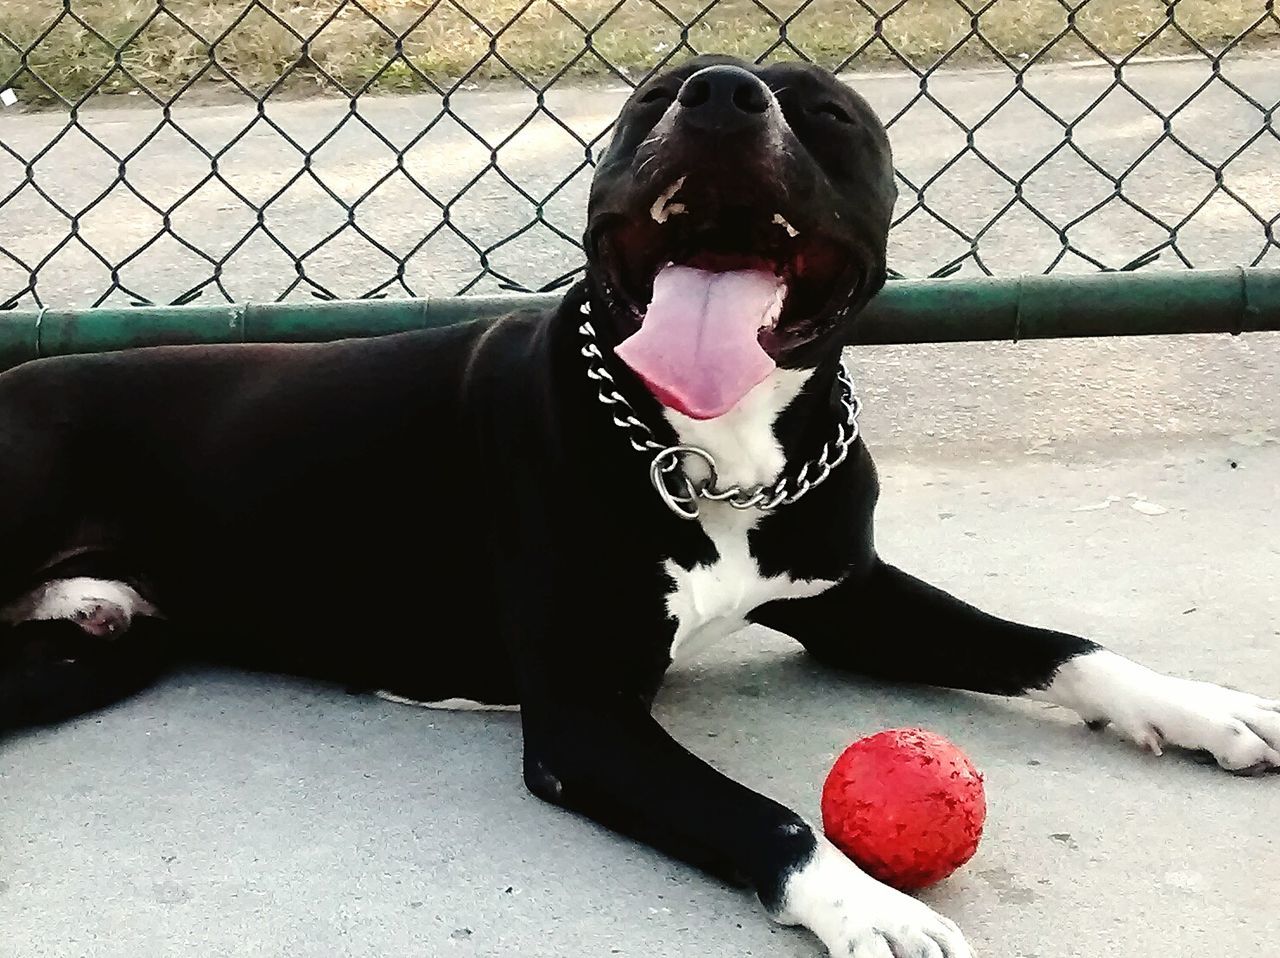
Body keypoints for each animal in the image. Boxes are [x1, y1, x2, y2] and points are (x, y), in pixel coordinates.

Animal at [0, 57, 1274, 957]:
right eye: (652, 99)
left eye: (825, 114)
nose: (716, 96)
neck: (707, 452)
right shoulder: (586, 721)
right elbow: (768, 815)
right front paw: (872, 906)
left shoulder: (846, 594)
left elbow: (1054, 644)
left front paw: (1201, 707)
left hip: (97, 653)